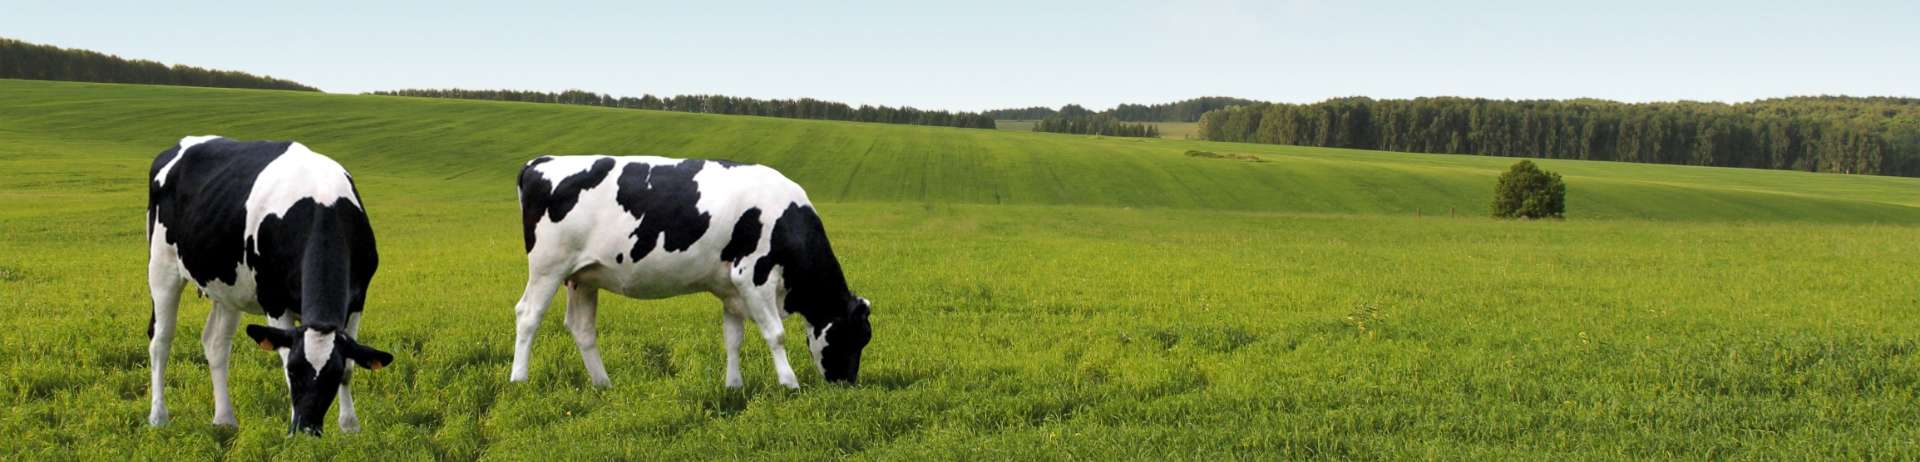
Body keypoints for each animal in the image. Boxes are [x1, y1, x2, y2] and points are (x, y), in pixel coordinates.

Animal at [145, 136, 394, 435]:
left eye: (332, 377)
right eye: (294, 372)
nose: (306, 429)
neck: (322, 204)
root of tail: (181, 143)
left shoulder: (357, 300)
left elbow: (349, 365)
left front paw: (349, 426)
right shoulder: (274, 301)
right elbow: (284, 357)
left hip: (228, 287)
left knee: (216, 344)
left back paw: (225, 419)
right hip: (162, 267)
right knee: (161, 340)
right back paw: (158, 417)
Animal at [512, 155, 871, 389]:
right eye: (855, 336)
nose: (848, 384)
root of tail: (541, 162)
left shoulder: (731, 289)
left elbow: (733, 339)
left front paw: (734, 386)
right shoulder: (752, 275)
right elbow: (776, 334)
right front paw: (789, 383)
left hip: (583, 276)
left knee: (581, 328)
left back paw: (603, 384)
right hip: (548, 266)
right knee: (528, 315)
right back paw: (519, 379)